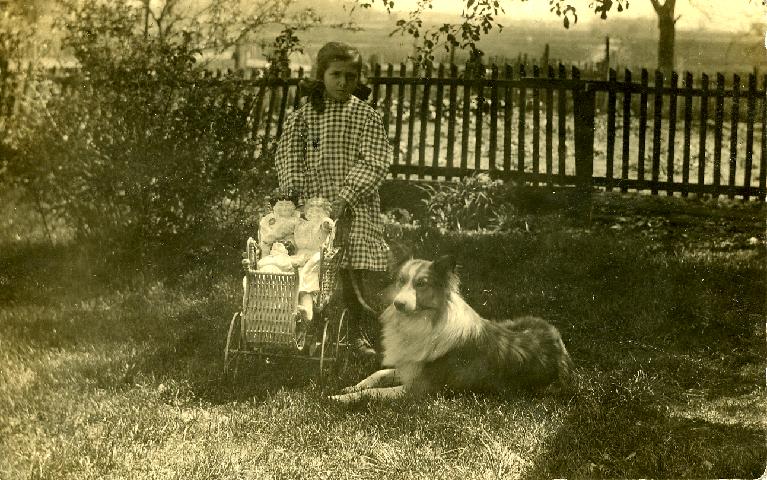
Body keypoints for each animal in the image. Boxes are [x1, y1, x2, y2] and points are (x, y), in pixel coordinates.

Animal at [332, 255, 576, 402]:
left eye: (421, 284)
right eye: (401, 281)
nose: (397, 304)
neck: (424, 321)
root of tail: (557, 338)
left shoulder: (419, 389)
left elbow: (372, 393)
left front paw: (337, 399)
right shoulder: (410, 366)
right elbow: (377, 374)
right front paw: (350, 387)